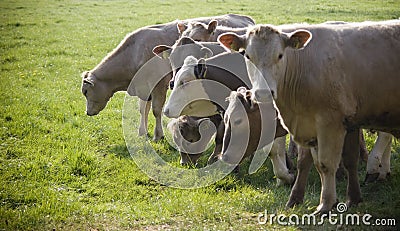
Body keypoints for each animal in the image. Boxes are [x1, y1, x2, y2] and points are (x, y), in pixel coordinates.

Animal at [81, 14, 255, 142]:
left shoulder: (158, 85)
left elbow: (156, 110)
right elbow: (142, 109)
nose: (88, 113)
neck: (134, 52)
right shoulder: (144, 88)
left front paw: (158, 135)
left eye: (85, 92)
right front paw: (142, 132)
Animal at [219, 19, 400, 213]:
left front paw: (326, 204)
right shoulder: (310, 125)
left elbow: (328, 163)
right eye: (247, 56)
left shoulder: (332, 124)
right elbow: (309, 162)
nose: (263, 93)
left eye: (280, 55)